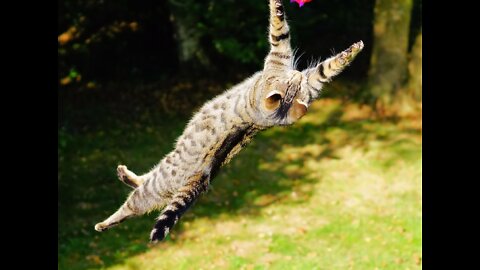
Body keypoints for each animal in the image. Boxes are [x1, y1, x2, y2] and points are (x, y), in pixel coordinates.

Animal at [94, 0, 364, 243]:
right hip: (164, 181)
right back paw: (124, 175)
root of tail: (203, 178)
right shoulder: (309, 83)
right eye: (294, 79)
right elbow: (326, 68)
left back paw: (104, 223)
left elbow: (279, 25)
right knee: (143, 185)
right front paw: (353, 50)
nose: (297, 73)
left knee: (132, 206)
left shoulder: (280, 55)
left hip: (159, 181)